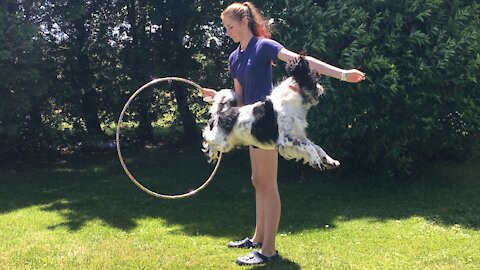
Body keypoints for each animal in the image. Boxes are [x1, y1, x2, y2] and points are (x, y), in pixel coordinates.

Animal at [202, 55, 342, 170]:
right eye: (314, 78)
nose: (321, 88)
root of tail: (223, 111)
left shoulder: (298, 135)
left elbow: (317, 146)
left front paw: (329, 161)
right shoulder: (286, 138)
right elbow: (310, 147)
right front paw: (317, 161)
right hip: (220, 141)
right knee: (207, 138)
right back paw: (211, 153)